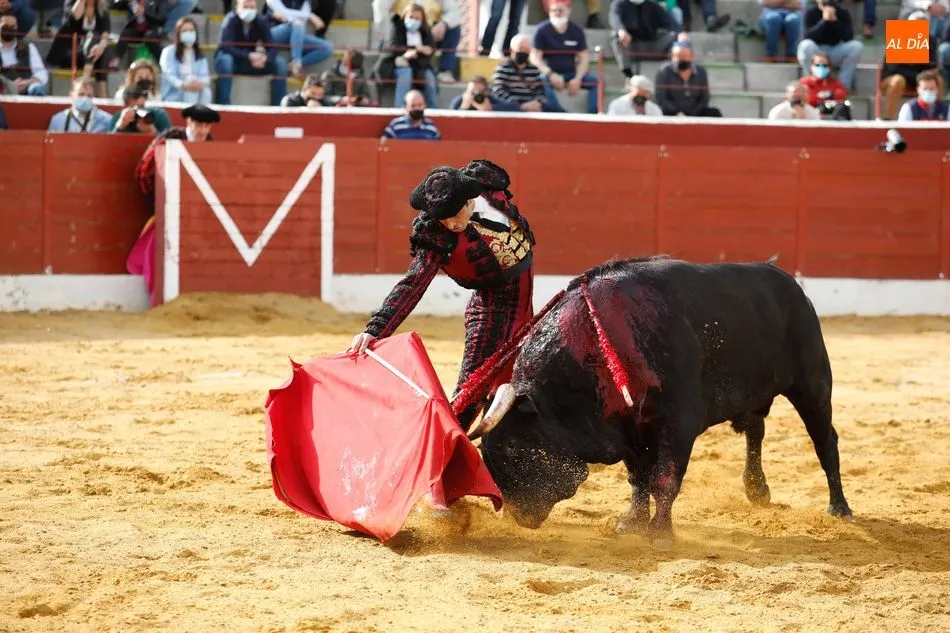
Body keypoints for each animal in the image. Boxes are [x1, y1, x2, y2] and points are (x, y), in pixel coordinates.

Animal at [466, 255, 853, 547]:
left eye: (514, 447)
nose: (517, 515)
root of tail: (788, 282)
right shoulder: (628, 428)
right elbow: (638, 479)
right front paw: (631, 524)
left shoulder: (677, 426)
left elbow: (664, 479)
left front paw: (661, 533)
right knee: (755, 430)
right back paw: (757, 489)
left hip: (813, 384)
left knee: (825, 441)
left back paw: (839, 508)